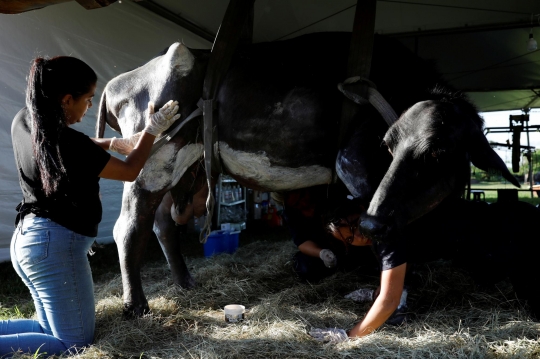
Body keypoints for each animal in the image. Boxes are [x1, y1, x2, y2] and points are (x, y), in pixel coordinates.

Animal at [95, 32, 516, 316]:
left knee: (163, 224)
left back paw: (185, 283)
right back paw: (136, 305)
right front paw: (394, 295)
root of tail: (119, 81)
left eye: (440, 151)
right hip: (153, 160)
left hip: (183, 165)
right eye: (389, 145)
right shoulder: (353, 162)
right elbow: (381, 226)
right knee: (129, 227)